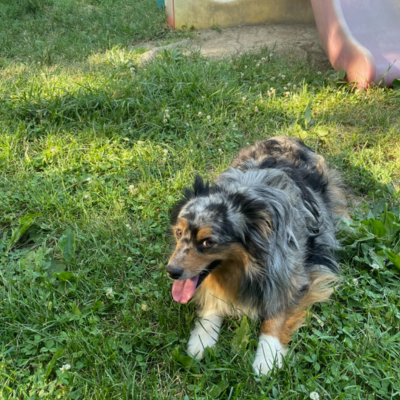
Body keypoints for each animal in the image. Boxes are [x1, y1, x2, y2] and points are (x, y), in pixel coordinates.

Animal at [166, 137, 346, 376]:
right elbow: (213, 301)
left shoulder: (295, 277)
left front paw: (267, 358)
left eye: (207, 242)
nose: (172, 272)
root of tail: (287, 137)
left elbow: (276, 317)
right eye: (178, 232)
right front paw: (202, 339)